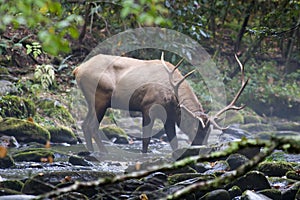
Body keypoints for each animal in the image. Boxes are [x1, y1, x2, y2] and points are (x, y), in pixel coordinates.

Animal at [73, 52, 248, 152]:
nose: (198, 147)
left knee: (85, 124)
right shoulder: (147, 108)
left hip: (92, 101)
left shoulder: (169, 117)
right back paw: (103, 153)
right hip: (100, 98)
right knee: (92, 126)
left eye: (209, 131)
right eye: (194, 127)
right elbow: (146, 140)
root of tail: (78, 69)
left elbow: (174, 142)